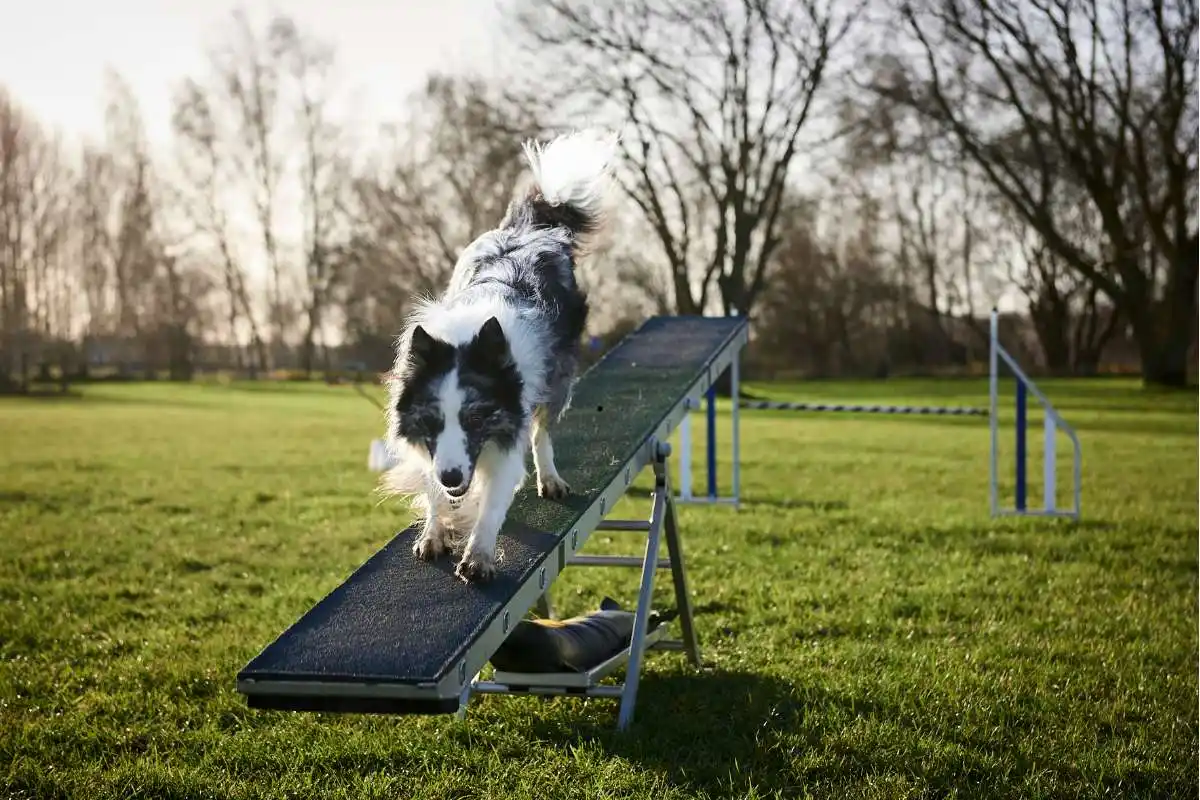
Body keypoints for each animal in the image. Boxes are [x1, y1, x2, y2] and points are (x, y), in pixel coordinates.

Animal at [381, 128, 619, 585]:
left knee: (543, 432)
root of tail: (529, 228)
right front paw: (435, 531)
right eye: (432, 420)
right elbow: (432, 488)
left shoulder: (510, 430)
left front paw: (479, 555)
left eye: (476, 419)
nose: (453, 476)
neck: (467, 337)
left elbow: (492, 502)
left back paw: (550, 478)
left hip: (558, 380)